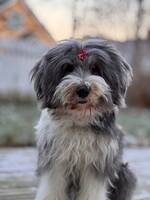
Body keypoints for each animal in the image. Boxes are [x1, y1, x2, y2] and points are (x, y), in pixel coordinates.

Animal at [31, 38, 136, 200]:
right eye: (68, 68)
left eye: (95, 69)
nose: (83, 90)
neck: (80, 118)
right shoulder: (55, 159)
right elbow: (53, 186)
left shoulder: (97, 161)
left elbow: (92, 189)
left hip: (125, 173)